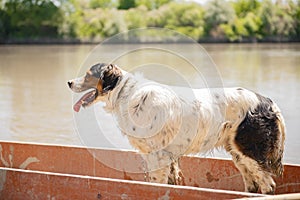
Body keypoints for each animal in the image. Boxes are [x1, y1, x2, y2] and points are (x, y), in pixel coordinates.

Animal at [68, 63, 286, 194]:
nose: (69, 82)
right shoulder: (164, 156)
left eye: (88, 75)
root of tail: (268, 102)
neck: (126, 94)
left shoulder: (157, 155)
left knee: (267, 185)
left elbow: (156, 183)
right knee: (252, 185)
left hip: (250, 151)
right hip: (238, 154)